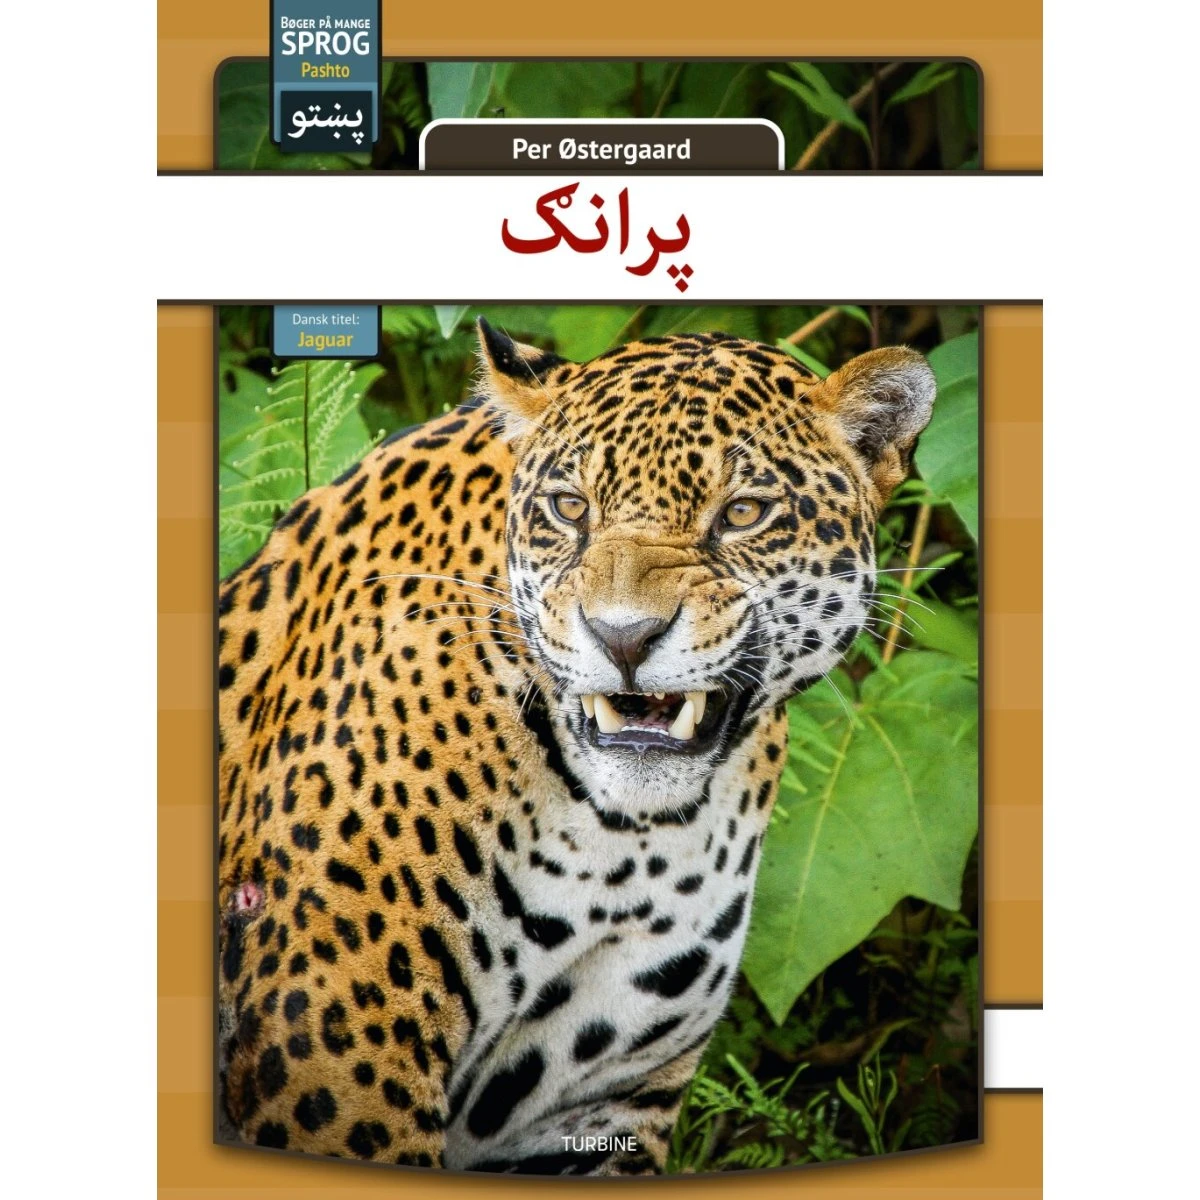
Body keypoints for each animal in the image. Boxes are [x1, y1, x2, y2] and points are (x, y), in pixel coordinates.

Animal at [216, 318, 935, 1175]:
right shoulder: (334, 1053)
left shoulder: (599, 1102)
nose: (623, 636)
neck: (622, 846)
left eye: (743, 513)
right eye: (569, 507)